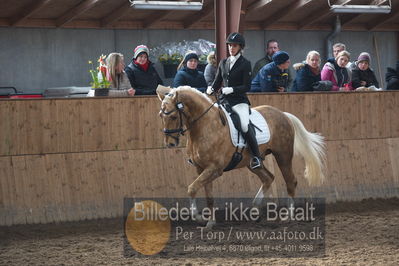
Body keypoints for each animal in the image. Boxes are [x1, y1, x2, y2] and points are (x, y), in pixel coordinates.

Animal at [157, 86, 328, 228]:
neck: (205, 126)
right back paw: (254, 211)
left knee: (290, 181)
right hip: (252, 162)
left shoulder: (214, 169)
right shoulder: (201, 169)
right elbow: (208, 196)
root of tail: (283, 114)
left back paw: (288, 216)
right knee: (268, 178)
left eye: (173, 117)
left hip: (283, 156)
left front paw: (198, 218)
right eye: (161, 116)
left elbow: (191, 189)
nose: (170, 143)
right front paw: (210, 223)